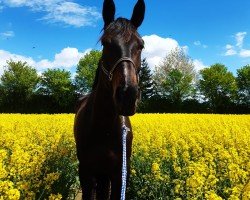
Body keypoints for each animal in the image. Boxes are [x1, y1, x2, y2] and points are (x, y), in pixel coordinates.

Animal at [73, 0, 146, 199]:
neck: (103, 126)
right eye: (105, 43)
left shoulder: (120, 174)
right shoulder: (86, 173)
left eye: (141, 45)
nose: (127, 95)